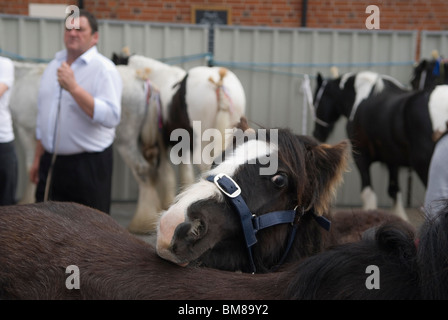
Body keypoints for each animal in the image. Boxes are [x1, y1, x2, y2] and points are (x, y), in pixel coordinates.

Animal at [312, 71, 448, 219]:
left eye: (316, 102)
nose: (316, 134)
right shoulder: (392, 159)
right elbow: (394, 191)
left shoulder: (361, 157)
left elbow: (368, 192)